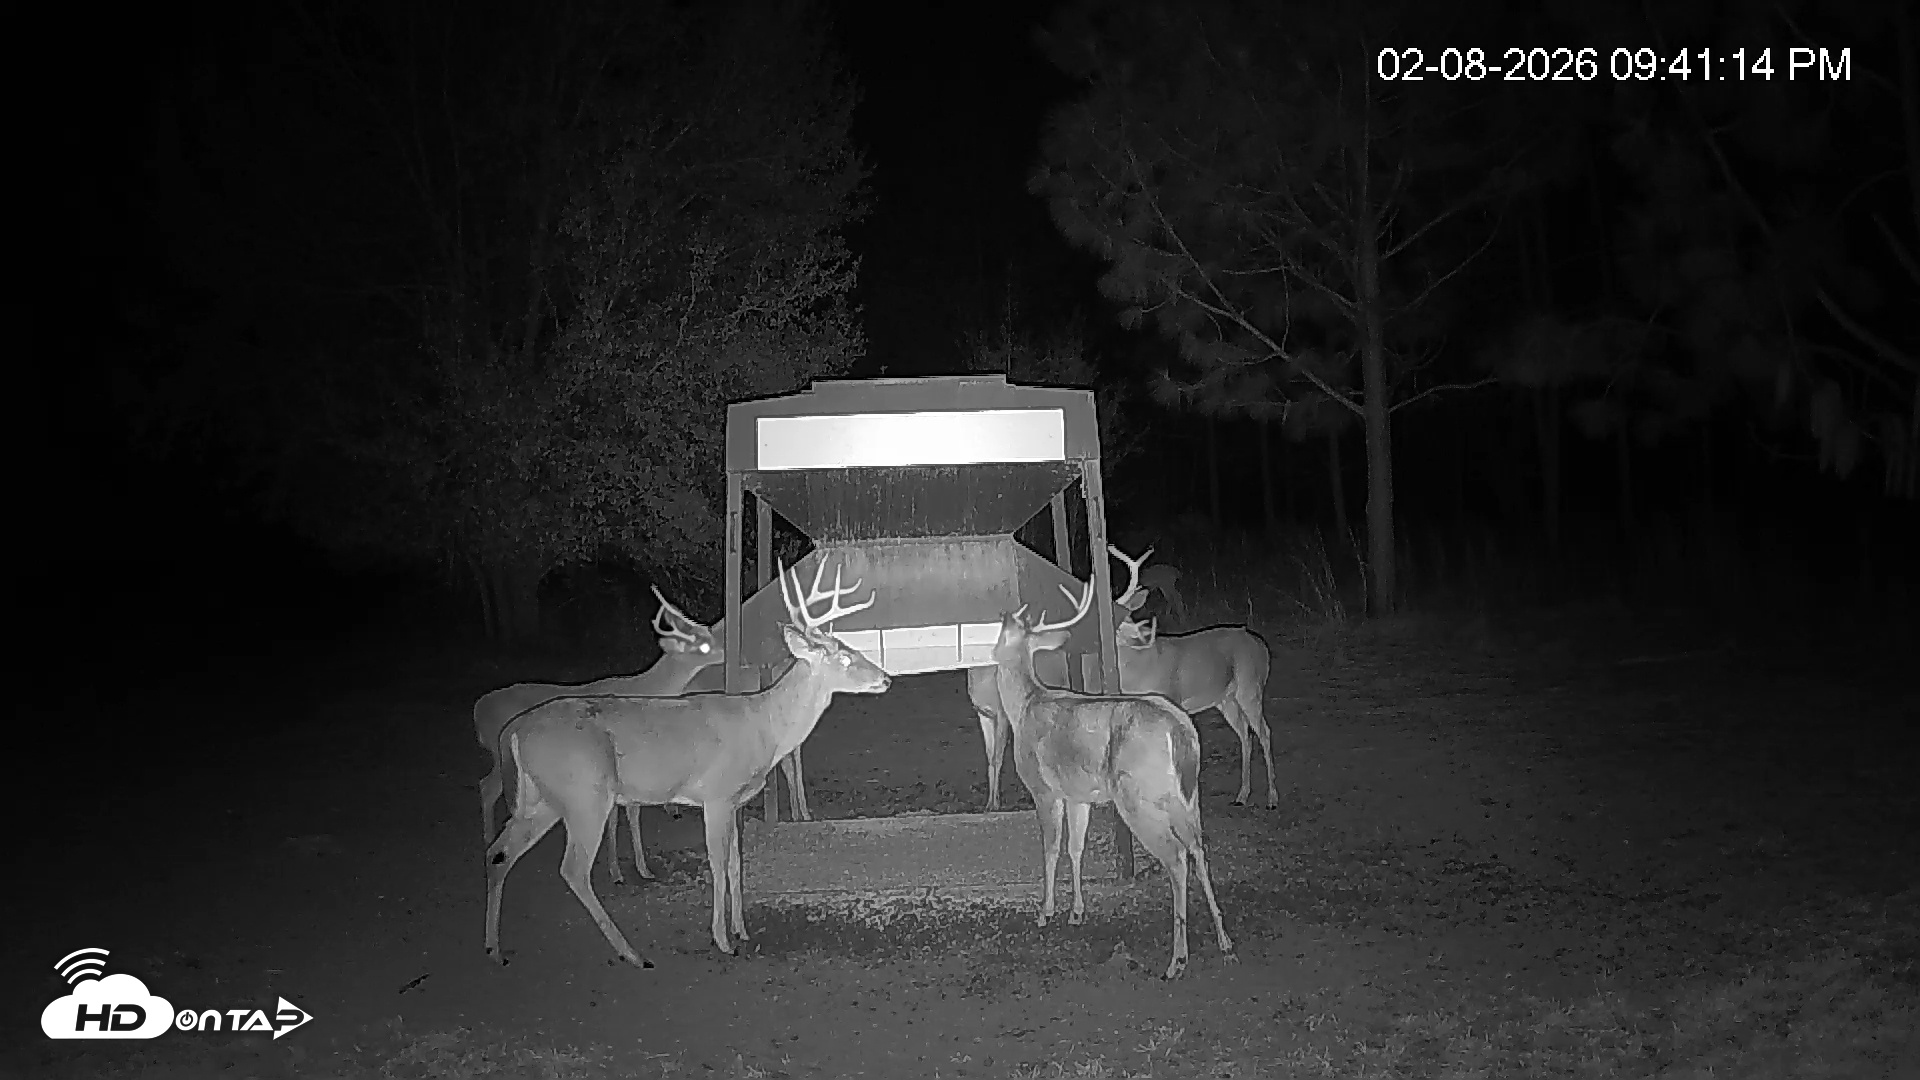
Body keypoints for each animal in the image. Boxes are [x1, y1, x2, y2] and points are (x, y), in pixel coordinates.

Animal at [472, 586, 722, 884]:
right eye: (701, 641)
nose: (723, 647)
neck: (647, 688)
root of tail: (477, 711)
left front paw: (629, 868)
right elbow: (624, 816)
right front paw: (625, 870)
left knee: (489, 788)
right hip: (504, 760)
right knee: (489, 789)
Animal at [968, 544, 1278, 810]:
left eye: (1124, 618)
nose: (1140, 634)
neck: (1138, 668)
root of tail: (1260, 644)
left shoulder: (1171, 696)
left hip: (1251, 686)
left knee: (1263, 731)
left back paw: (1272, 798)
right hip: (1226, 699)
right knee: (1245, 733)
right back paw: (1242, 795)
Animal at [991, 580, 1234, 979]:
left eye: (1004, 628)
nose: (992, 650)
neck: (1024, 706)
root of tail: (1181, 731)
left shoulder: (1044, 788)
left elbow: (1051, 848)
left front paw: (1045, 912)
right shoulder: (1078, 794)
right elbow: (1076, 847)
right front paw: (1076, 912)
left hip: (1138, 797)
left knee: (1176, 857)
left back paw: (1177, 959)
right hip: (1186, 795)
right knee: (1199, 848)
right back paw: (1225, 941)